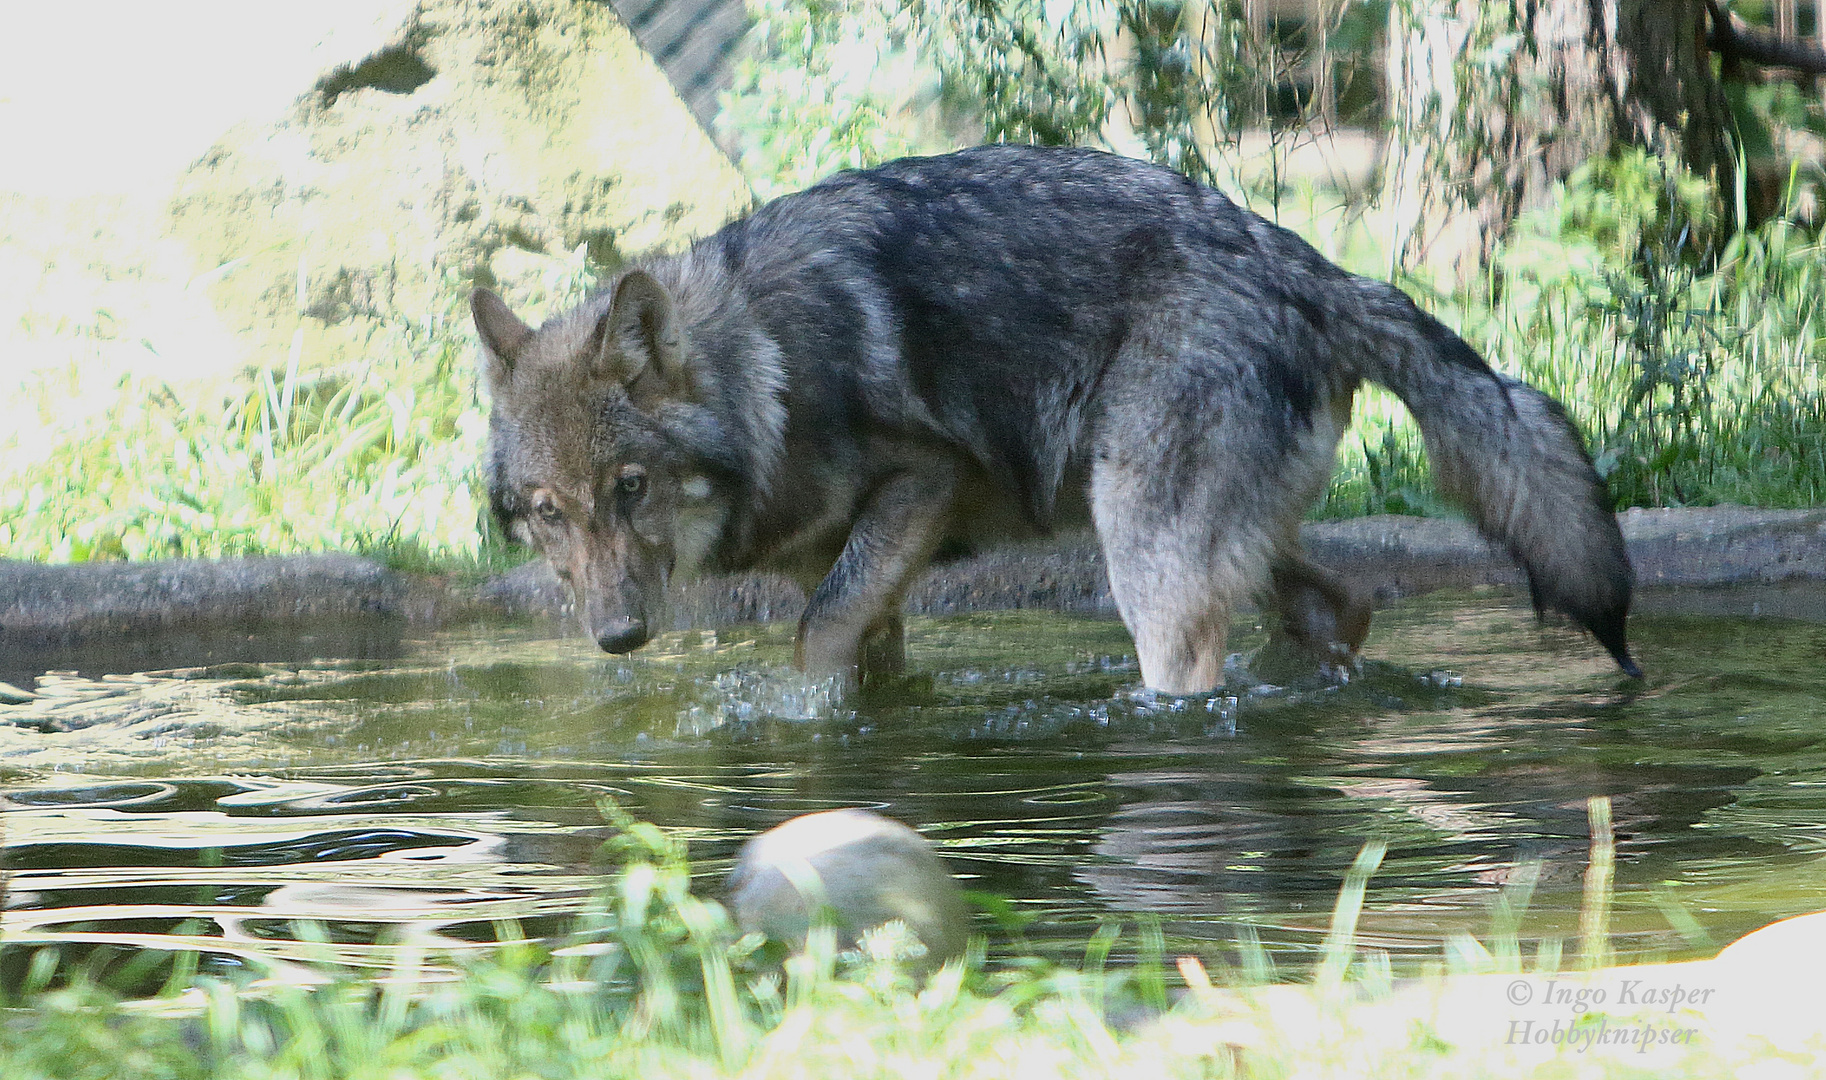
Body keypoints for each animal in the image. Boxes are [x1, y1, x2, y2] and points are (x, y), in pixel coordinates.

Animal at [471, 146, 1643, 694]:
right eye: (548, 512)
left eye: (630, 489)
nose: (617, 639)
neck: (763, 372)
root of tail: (1316, 271)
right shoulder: (855, 573)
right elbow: (852, 642)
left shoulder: (924, 482)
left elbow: (813, 644)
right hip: (1197, 533)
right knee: (1342, 599)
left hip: (1146, 564)